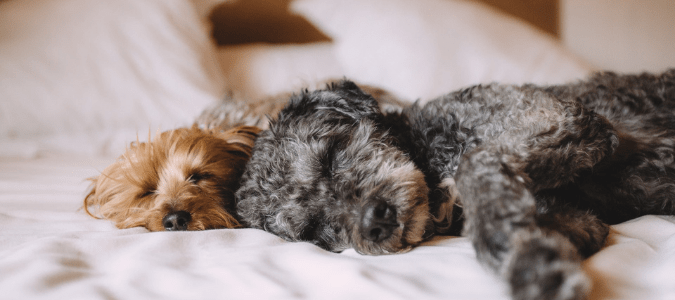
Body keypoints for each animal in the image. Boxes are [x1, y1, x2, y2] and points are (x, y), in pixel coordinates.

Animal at [236, 69, 675, 300]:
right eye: (315, 231)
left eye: (329, 156)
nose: (374, 222)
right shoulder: (581, 215)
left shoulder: (564, 118)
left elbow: (473, 164)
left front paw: (531, 266)